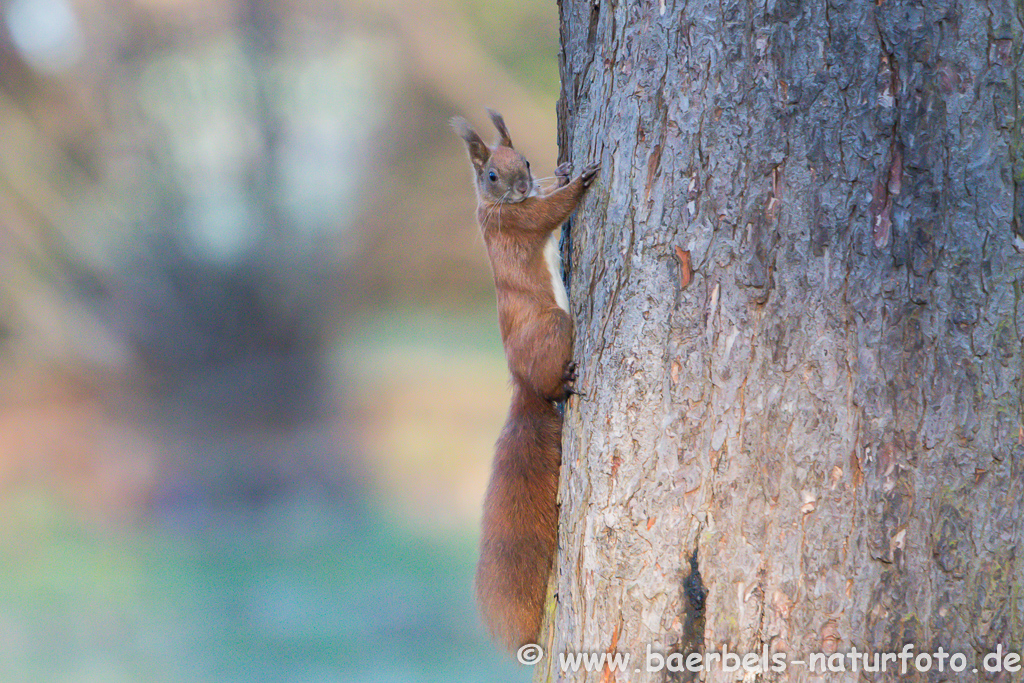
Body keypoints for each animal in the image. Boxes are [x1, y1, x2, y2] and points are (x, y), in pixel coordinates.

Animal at [450, 111, 598, 651]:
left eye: (527, 162)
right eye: (491, 175)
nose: (519, 186)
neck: (498, 208)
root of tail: (524, 386)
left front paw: (565, 169)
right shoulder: (520, 222)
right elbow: (549, 212)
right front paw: (580, 181)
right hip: (554, 327)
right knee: (554, 384)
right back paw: (566, 382)